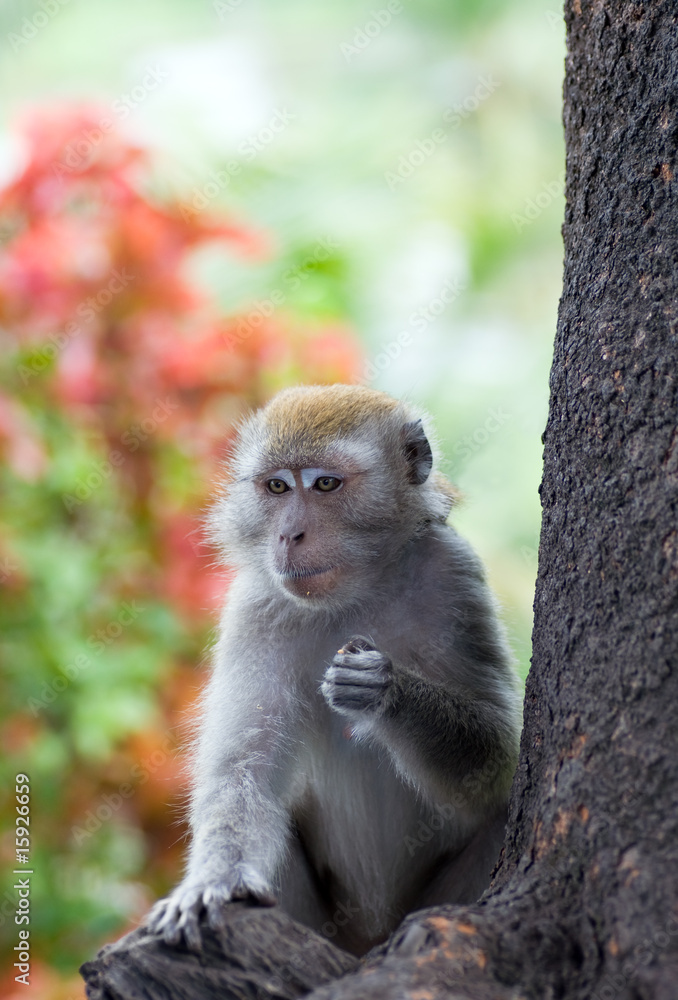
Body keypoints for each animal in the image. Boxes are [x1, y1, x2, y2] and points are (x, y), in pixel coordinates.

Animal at [146, 384, 522, 956]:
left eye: (325, 484)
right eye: (277, 487)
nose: (289, 535)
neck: (358, 592)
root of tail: (366, 938)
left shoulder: (456, 575)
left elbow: (495, 763)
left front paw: (388, 692)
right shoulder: (256, 606)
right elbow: (244, 773)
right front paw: (214, 882)